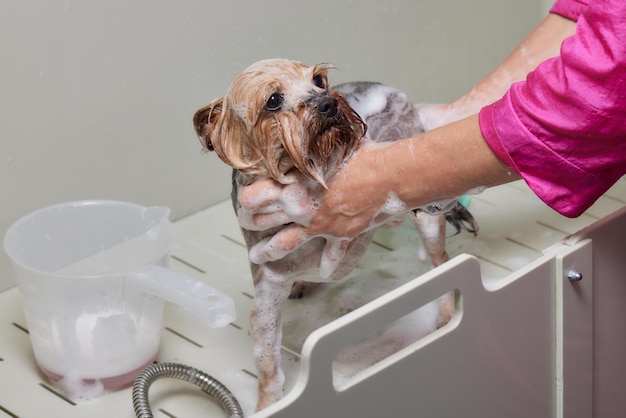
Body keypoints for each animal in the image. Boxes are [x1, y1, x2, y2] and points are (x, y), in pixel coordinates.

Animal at [193, 58, 476, 412]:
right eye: (273, 100)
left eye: (318, 80)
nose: (327, 103)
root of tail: (390, 90)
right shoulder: (268, 287)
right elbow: (268, 362)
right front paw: (269, 403)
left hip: (427, 216)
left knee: (442, 260)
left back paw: (447, 312)